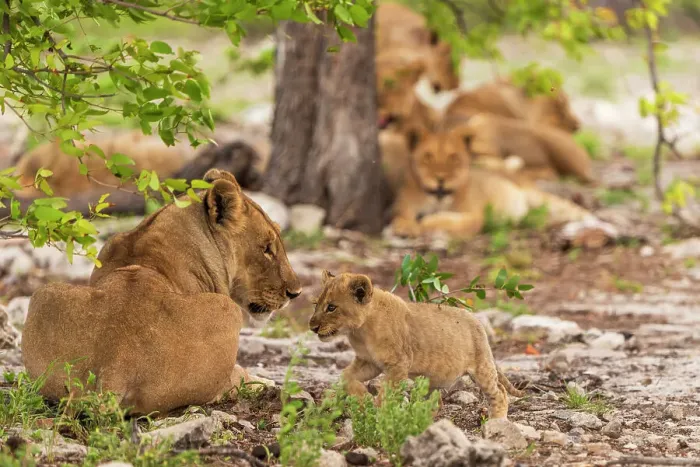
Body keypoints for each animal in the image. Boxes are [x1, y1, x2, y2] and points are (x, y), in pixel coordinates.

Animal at [309, 270, 523, 419]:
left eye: (331, 307)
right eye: (316, 305)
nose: (312, 327)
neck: (360, 331)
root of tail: (477, 321)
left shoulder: (398, 364)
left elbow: (386, 394)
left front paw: (377, 413)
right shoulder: (368, 362)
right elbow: (346, 376)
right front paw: (363, 399)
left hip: (481, 368)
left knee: (499, 392)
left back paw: (497, 422)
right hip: (431, 379)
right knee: (437, 403)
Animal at [389, 125, 593, 238]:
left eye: (454, 158)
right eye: (427, 157)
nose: (440, 179)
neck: (438, 199)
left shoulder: (475, 216)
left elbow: (452, 222)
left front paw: (425, 222)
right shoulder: (404, 206)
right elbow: (400, 217)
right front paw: (406, 227)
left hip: (537, 196)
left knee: (573, 209)